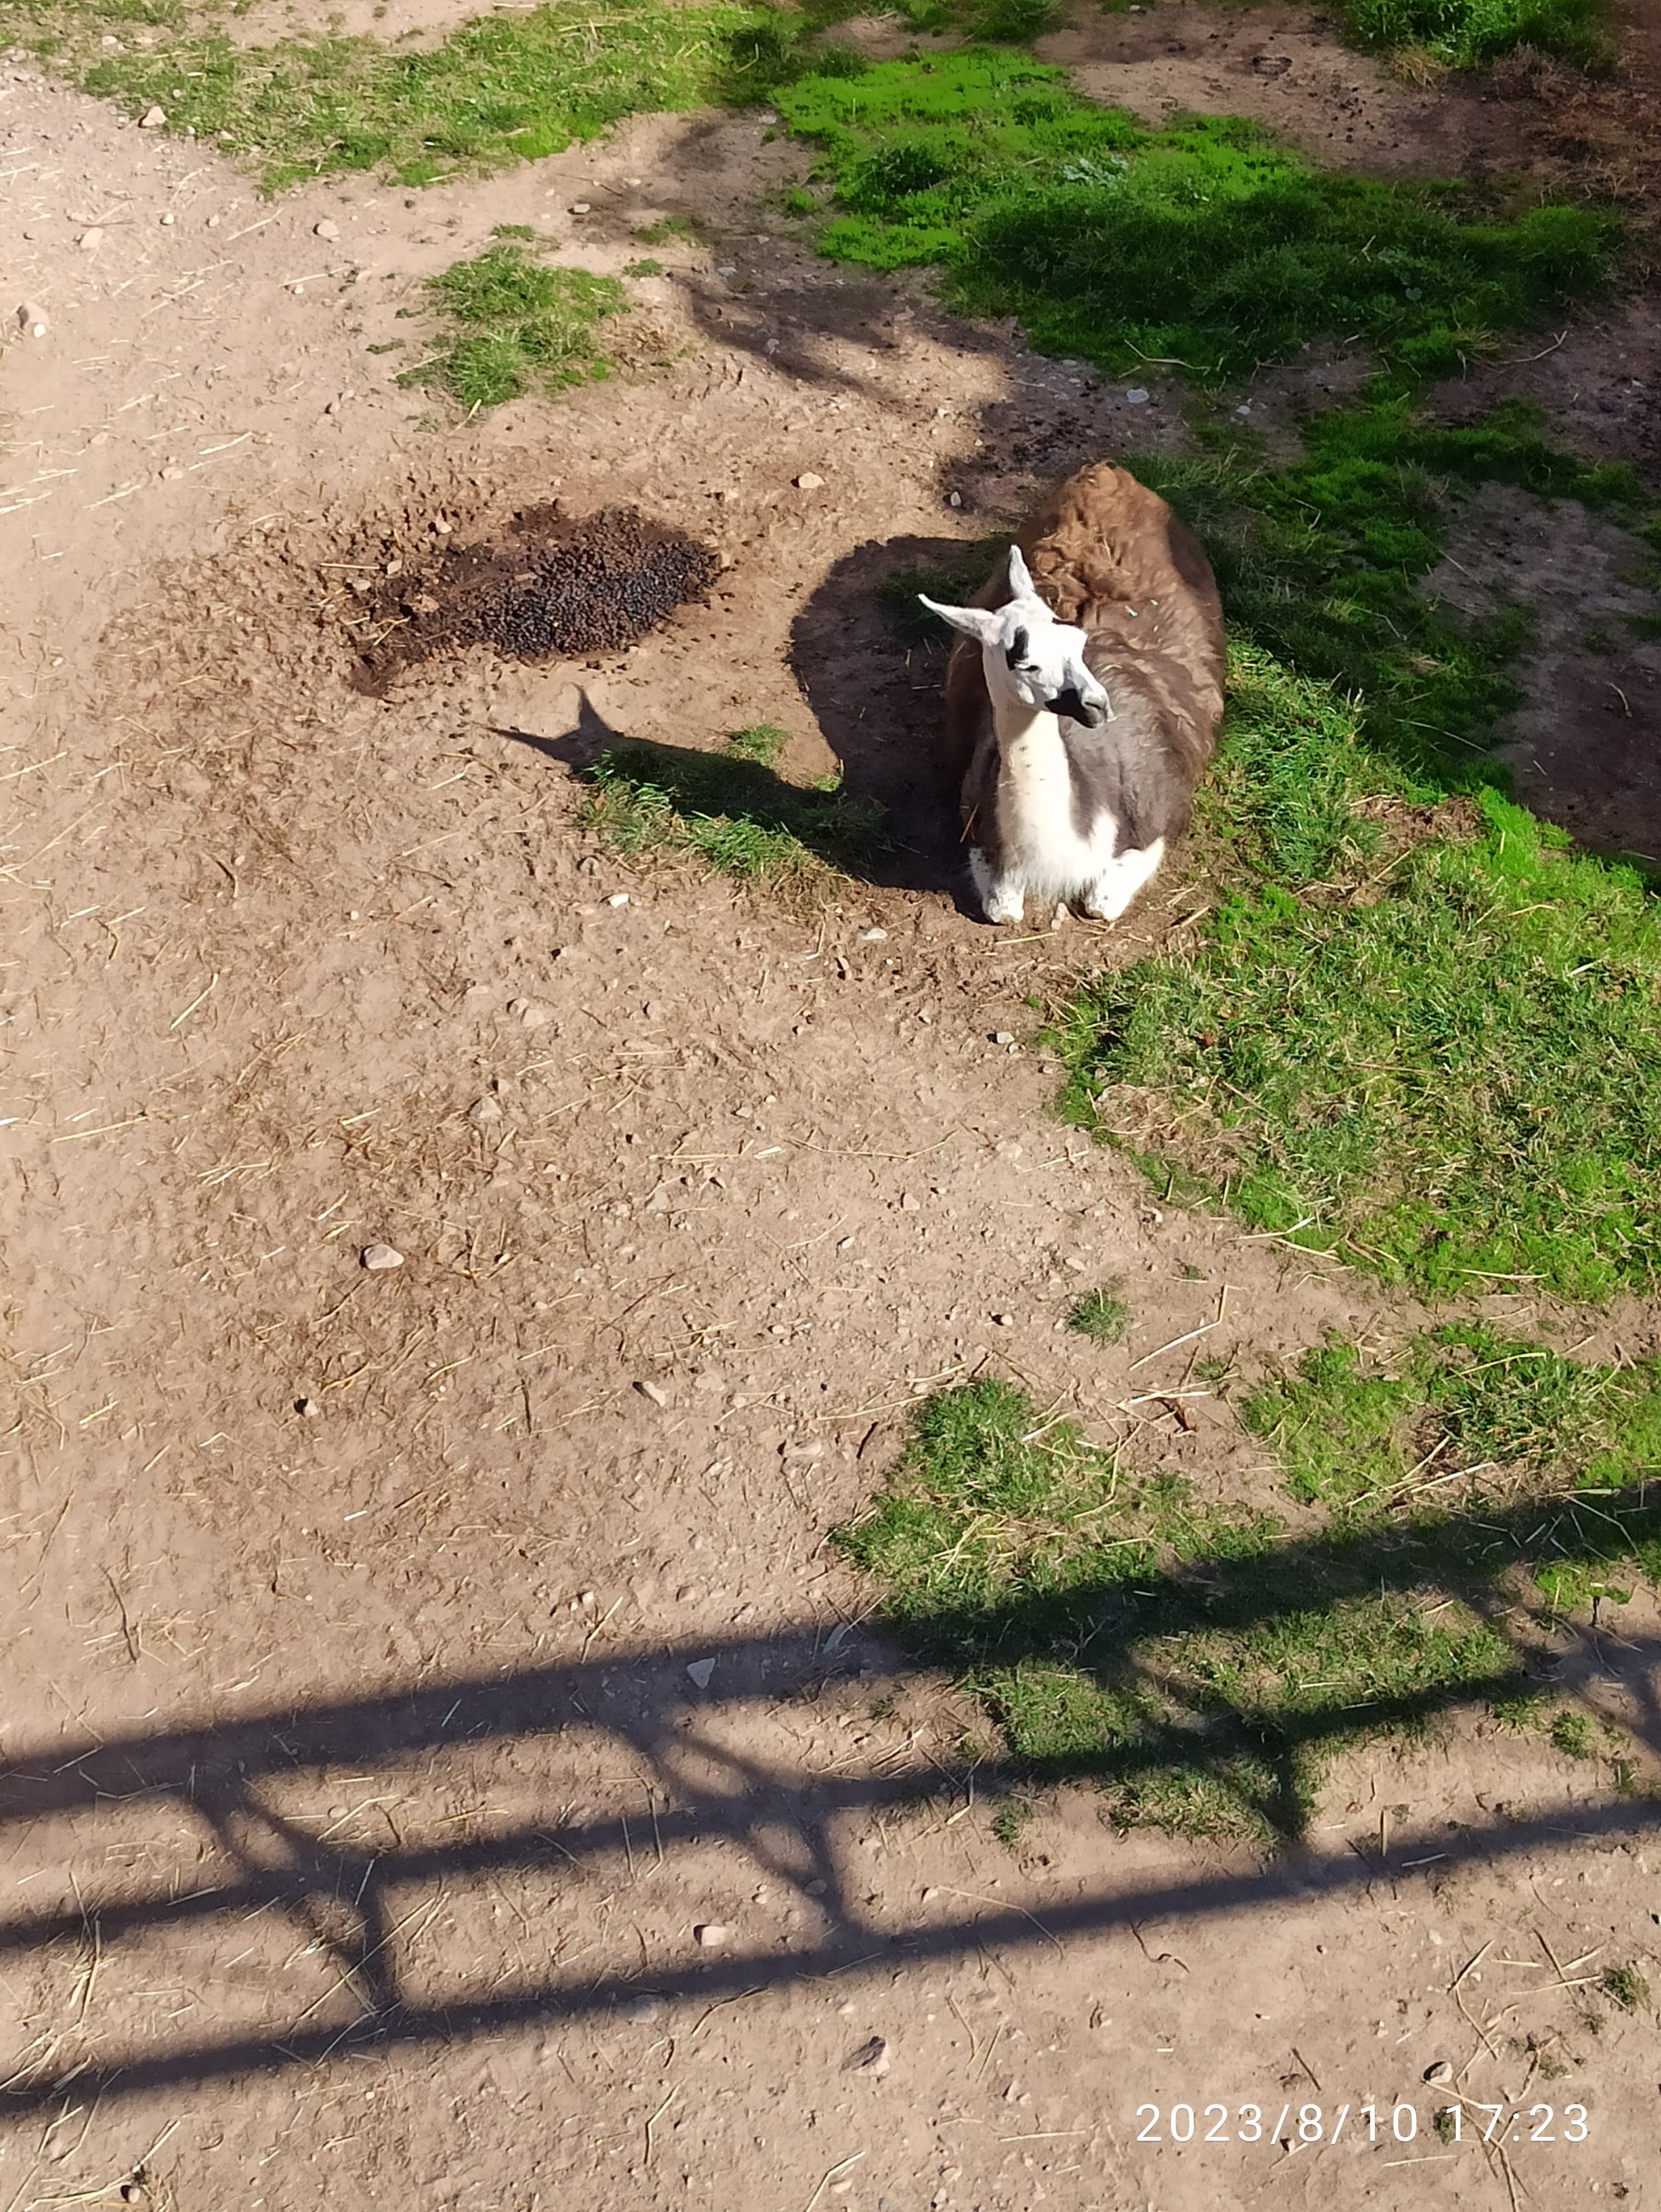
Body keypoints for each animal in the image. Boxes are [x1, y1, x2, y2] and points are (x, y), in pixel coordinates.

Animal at [921, 463, 1225, 925]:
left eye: (1076, 641)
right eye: (1023, 660)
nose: (1098, 704)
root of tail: (1106, 473)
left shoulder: (1160, 815)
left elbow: (1102, 904)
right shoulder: (975, 813)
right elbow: (1002, 909)